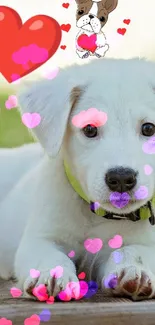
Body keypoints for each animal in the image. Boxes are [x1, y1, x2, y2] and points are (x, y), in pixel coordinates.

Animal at [1, 57, 155, 300]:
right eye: (90, 129)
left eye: (149, 128)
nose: (121, 178)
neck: (97, 216)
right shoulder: (41, 236)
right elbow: (47, 253)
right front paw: (50, 273)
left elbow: (137, 250)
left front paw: (134, 269)